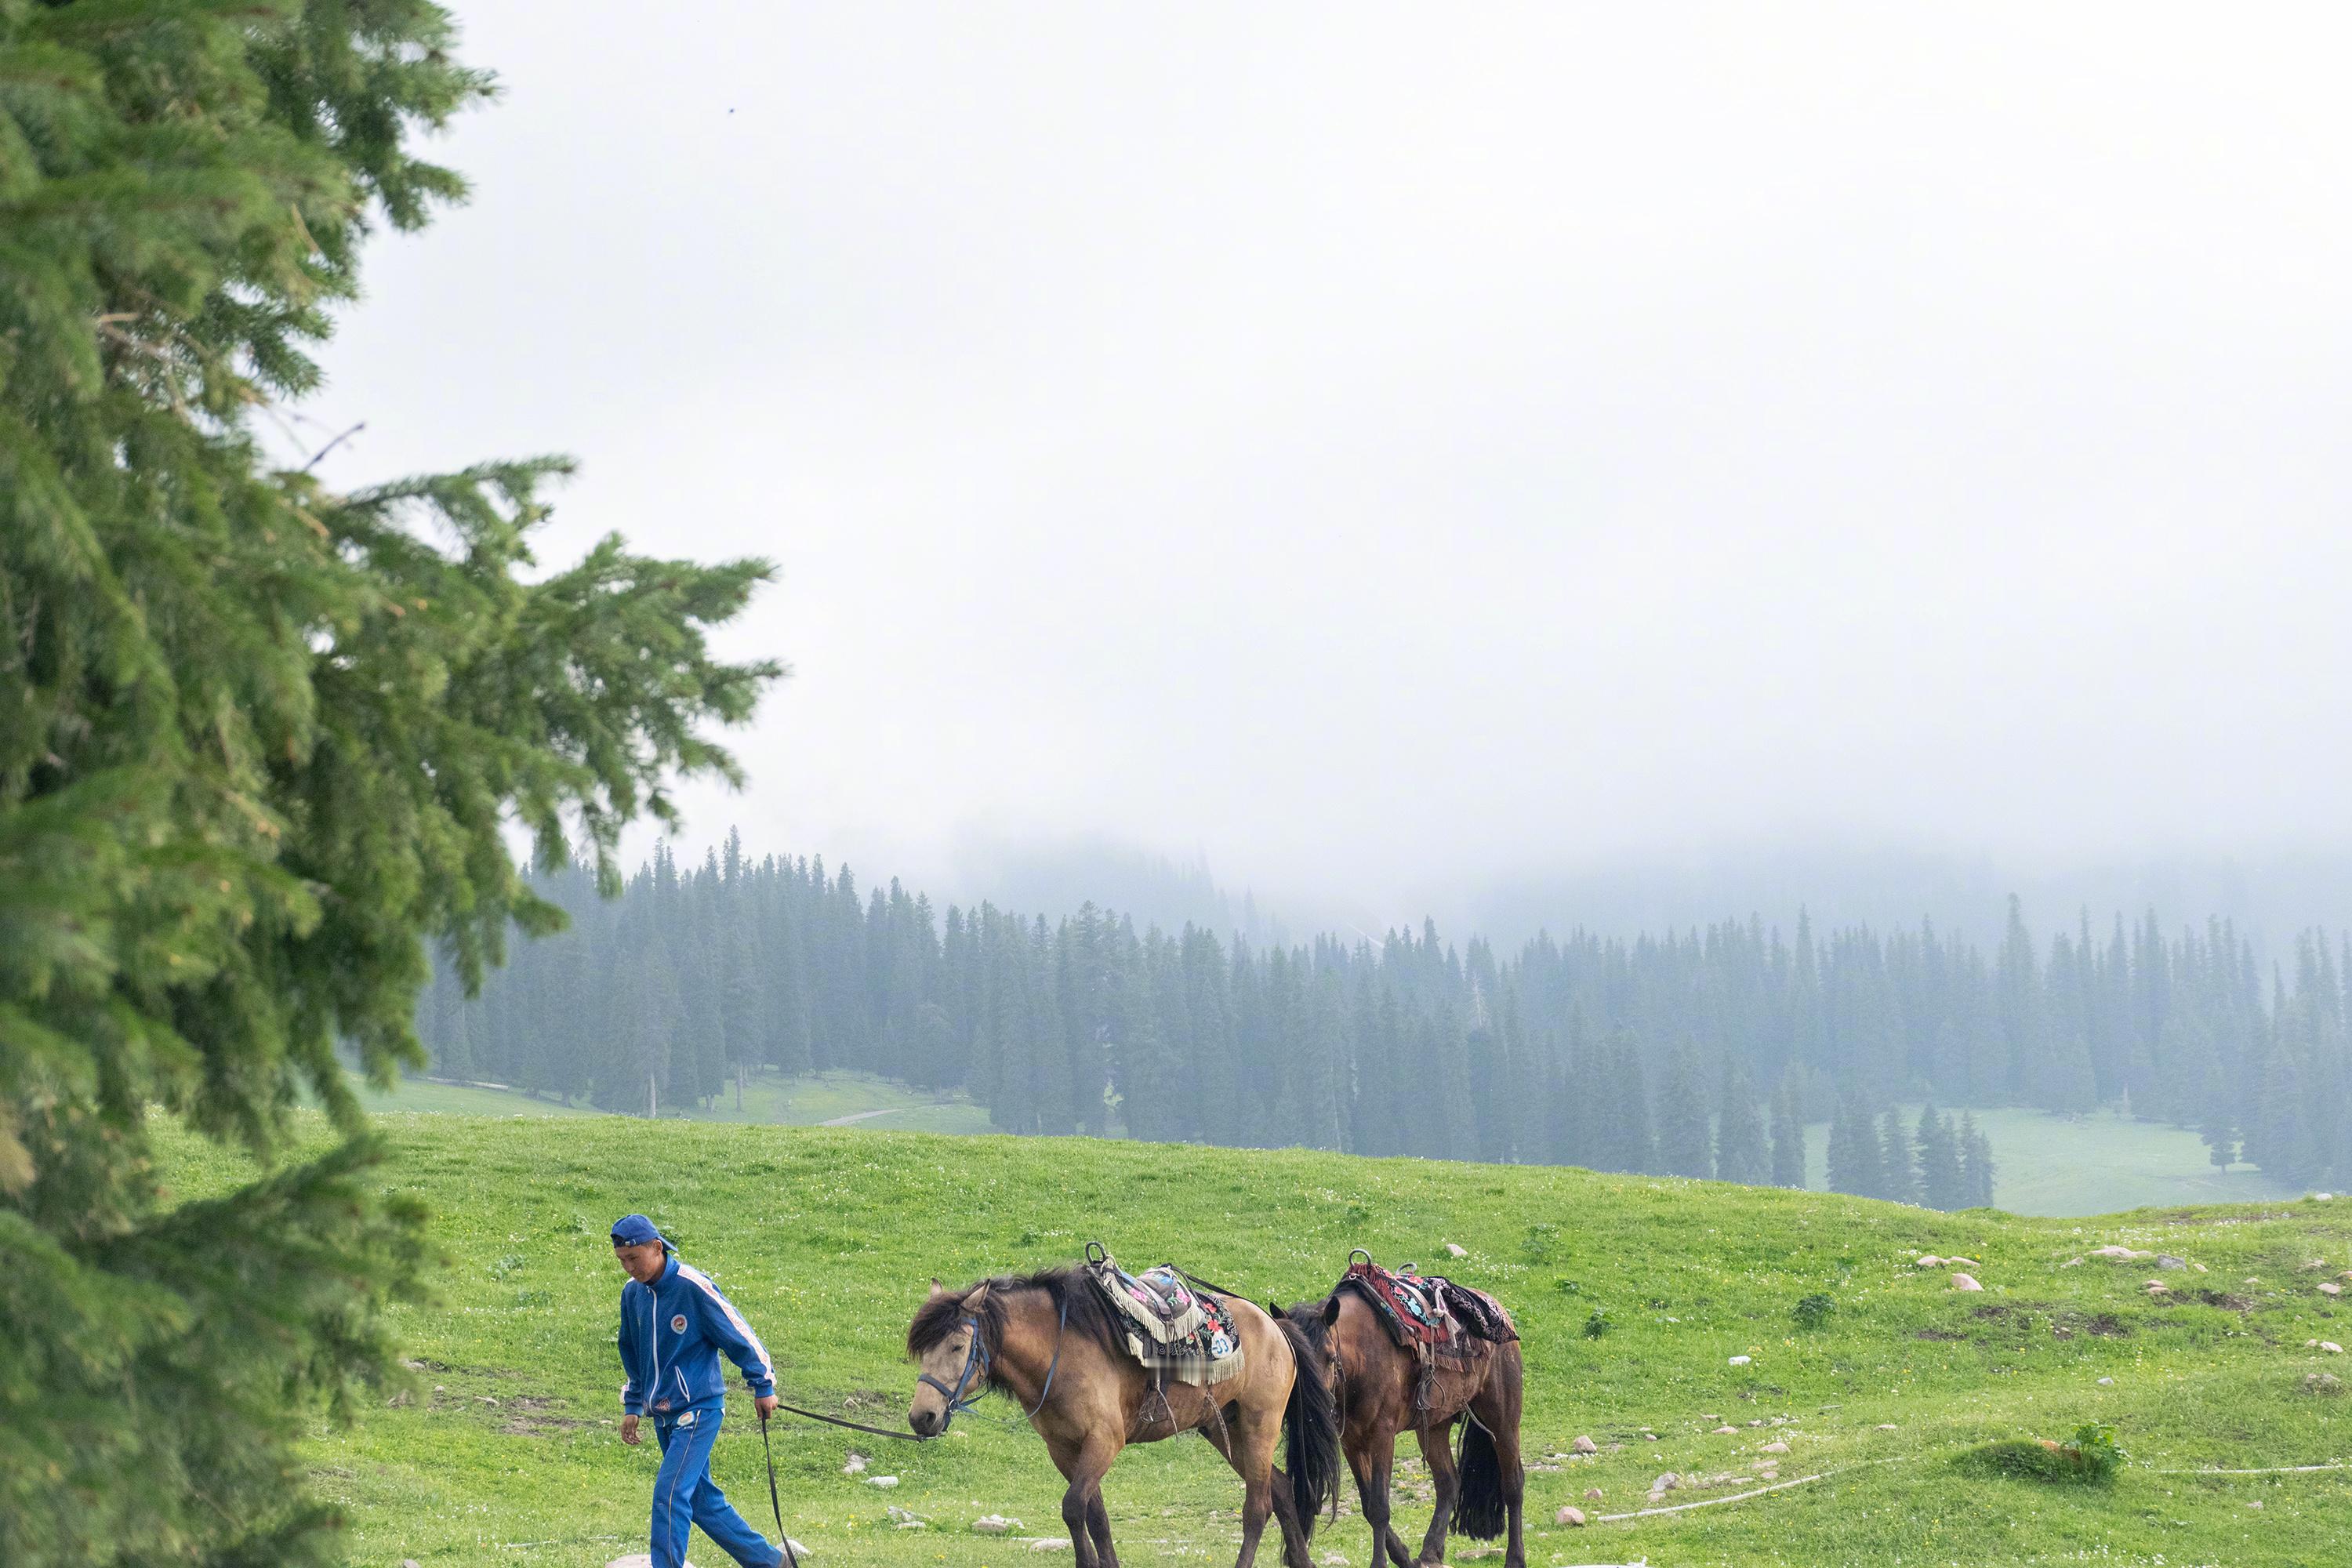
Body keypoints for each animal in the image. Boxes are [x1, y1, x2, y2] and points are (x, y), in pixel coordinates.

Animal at [903, 1269, 1336, 1568]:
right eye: (923, 1349)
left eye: (957, 1345)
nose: (922, 1417)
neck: (1060, 1352)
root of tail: (1275, 1327)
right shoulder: (1065, 1449)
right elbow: (1095, 1516)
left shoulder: (1104, 1441)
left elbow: (1073, 1507)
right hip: (1223, 1429)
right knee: (1281, 1490)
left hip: (1258, 1425)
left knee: (1257, 1508)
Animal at [1279, 1279, 1534, 1561]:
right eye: (1294, 1357)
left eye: (1330, 1356)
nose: (1311, 1403)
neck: (1362, 1356)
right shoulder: (1352, 1443)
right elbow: (1368, 1505)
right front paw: (1402, 1556)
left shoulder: (1382, 1436)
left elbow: (1380, 1506)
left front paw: (1380, 1562)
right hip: (1433, 1427)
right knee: (1449, 1482)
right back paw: (1430, 1553)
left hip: (1502, 1420)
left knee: (1513, 1484)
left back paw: (1515, 1557)